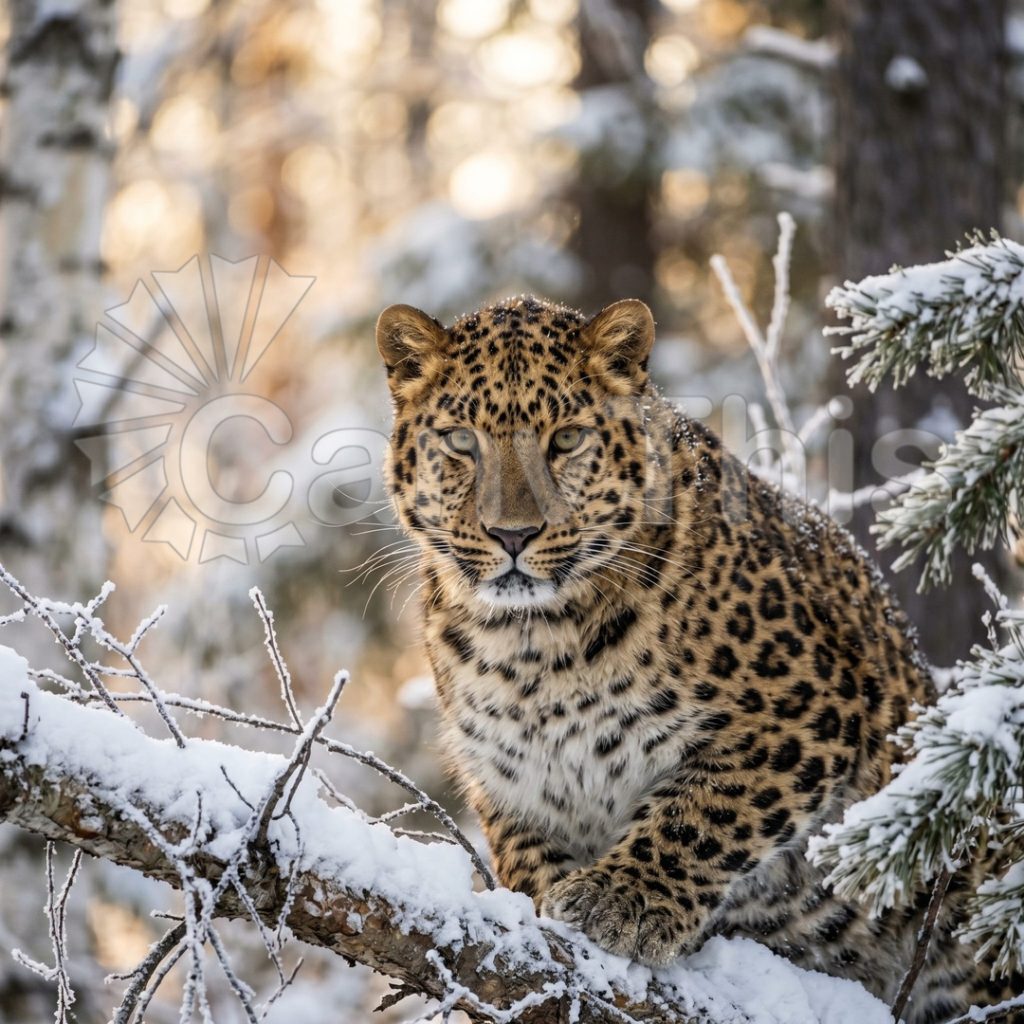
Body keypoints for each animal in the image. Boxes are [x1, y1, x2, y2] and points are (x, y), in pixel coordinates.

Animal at [375, 294, 1023, 1023]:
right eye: (461, 441)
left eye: (566, 439)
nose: (512, 534)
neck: (532, 646)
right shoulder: (511, 779)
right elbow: (527, 852)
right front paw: (546, 909)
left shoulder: (808, 712)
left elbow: (705, 810)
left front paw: (622, 900)